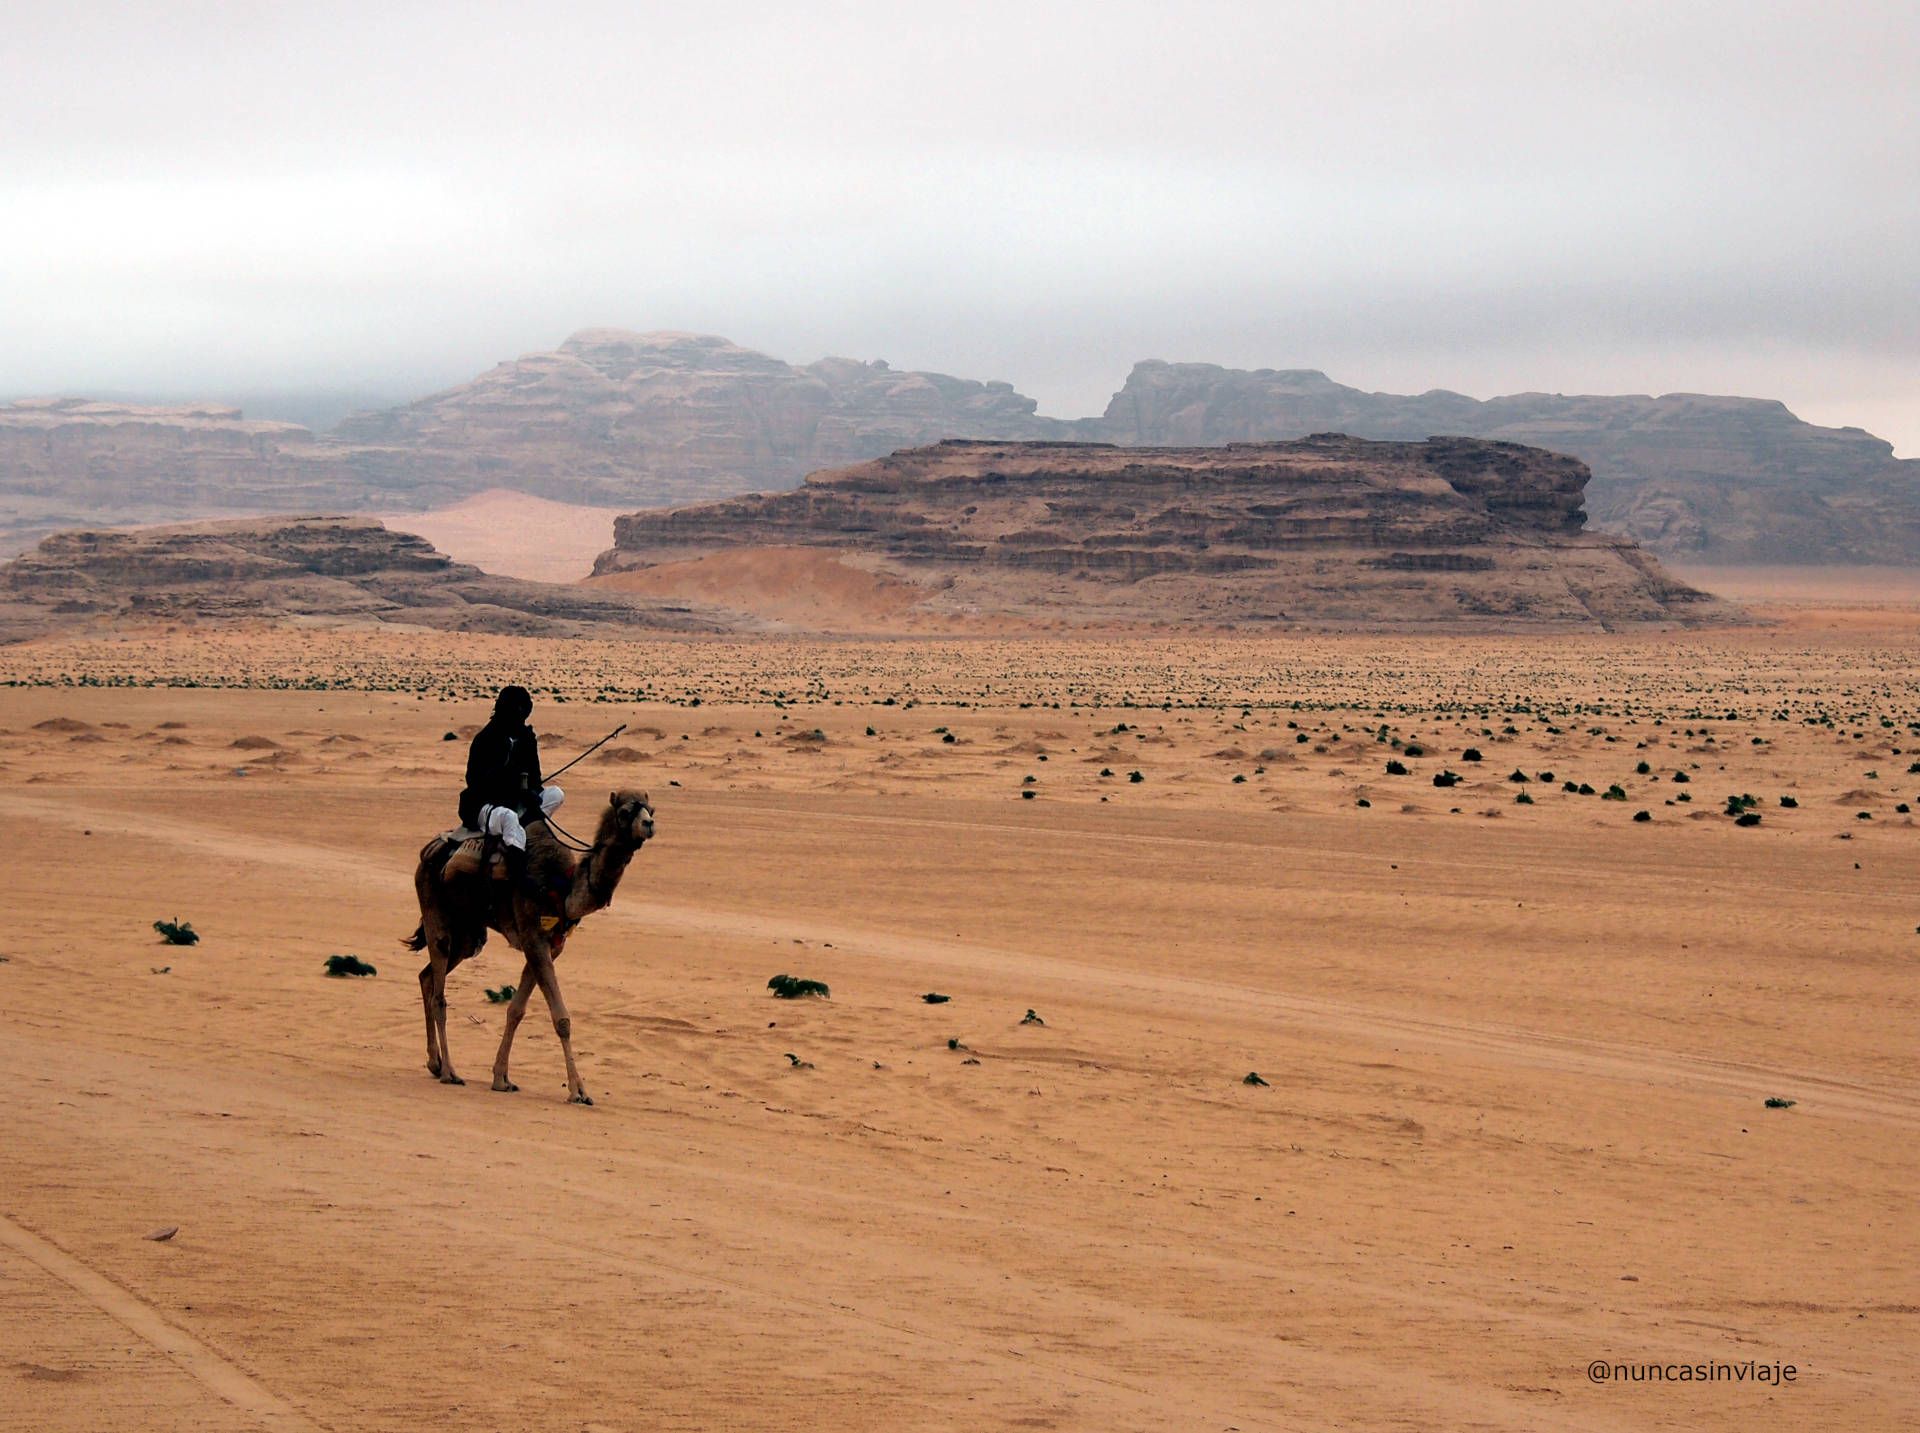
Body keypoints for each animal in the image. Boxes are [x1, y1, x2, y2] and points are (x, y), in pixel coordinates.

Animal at [401, 787, 656, 1098]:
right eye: (625, 811)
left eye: (650, 810)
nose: (649, 825)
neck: (562, 889)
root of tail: (430, 850)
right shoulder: (533, 938)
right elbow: (561, 1019)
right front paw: (578, 1091)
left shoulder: (551, 946)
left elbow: (516, 1010)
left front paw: (501, 1078)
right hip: (434, 910)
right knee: (439, 993)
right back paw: (450, 1072)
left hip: (468, 932)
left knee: (427, 976)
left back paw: (435, 1063)